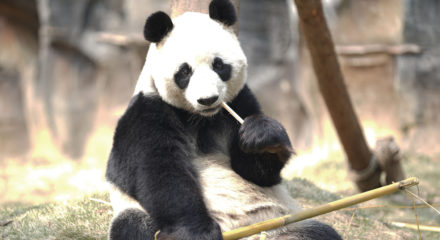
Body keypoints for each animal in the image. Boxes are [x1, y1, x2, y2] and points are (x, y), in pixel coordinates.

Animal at [105, 0, 342, 239]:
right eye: (185, 71)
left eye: (218, 65)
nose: (208, 99)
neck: (201, 118)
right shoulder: (148, 113)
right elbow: (161, 172)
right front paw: (198, 231)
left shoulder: (240, 101)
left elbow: (255, 172)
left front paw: (264, 138)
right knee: (134, 224)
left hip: (281, 222)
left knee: (320, 231)